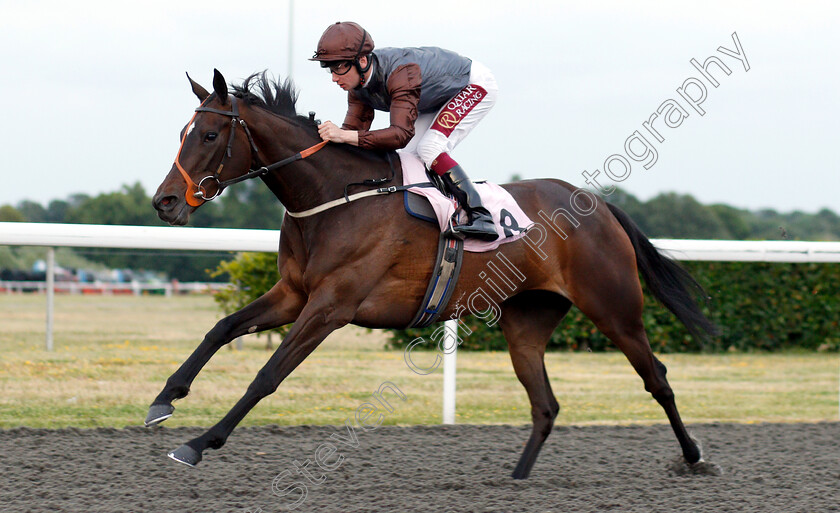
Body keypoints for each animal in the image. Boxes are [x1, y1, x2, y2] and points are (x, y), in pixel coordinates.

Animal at [149, 70, 716, 478]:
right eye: (181, 133)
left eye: (209, 133)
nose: (165, 202)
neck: (336, 198)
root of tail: (596, 205)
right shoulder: (293, 292)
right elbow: (221, 328)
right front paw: (163, 400)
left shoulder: (331, 306)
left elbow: (268, 374)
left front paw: (198, 444)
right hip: (527, 320)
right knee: (545, 403)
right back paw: (516, 478)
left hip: (614, 308)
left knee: (656, 378)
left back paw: (694, 457)